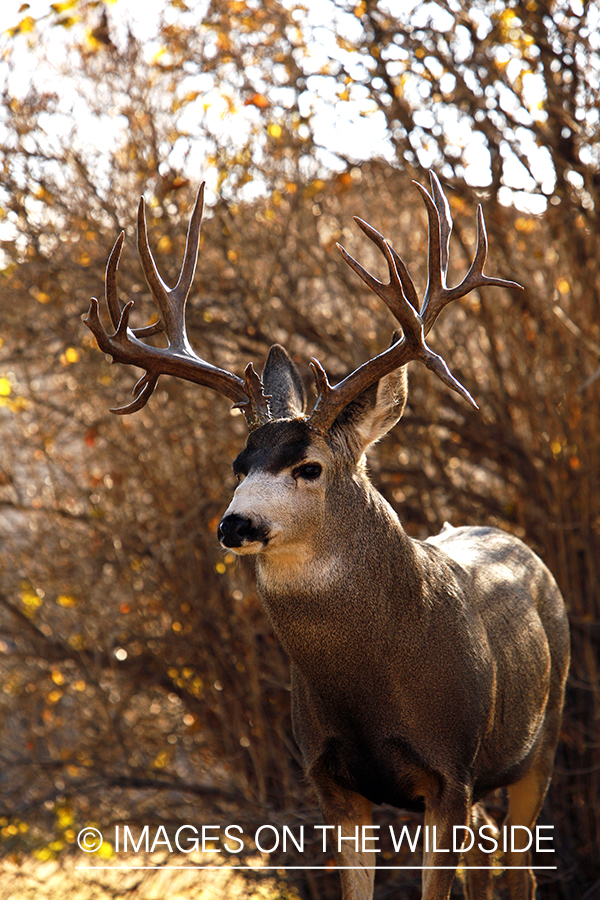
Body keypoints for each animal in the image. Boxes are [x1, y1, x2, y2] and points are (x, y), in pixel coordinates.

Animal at [84, 173, 570, 900]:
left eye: (309, 467)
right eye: (239, 465)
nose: (235, 524)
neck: (372, 678)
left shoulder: (450, 772)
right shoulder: (330, 779)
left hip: (545, 733)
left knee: (520, 870)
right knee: (488, 867)